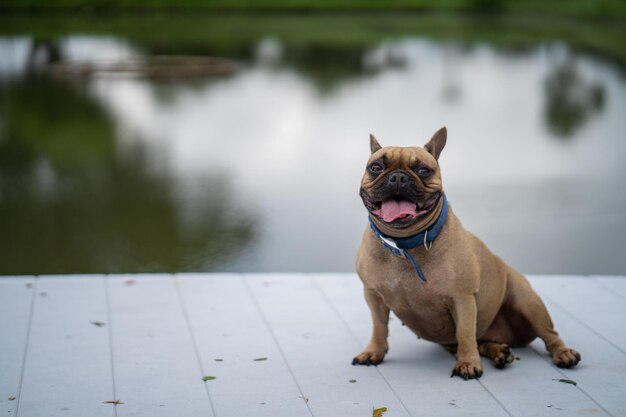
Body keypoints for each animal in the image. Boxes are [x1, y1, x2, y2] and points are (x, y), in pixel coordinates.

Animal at [354, 127, 576, 376]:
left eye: (423, 170)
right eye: (376, 167)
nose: (398, 177)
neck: (404, 243)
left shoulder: (462, 298)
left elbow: (465, 332)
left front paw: (468, 363)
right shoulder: (373, 295)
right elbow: (379, 326)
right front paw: (374, 351)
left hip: (528, 302)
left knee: (549, 334)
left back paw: (563, 353)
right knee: (482, 341)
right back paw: (499, 352)